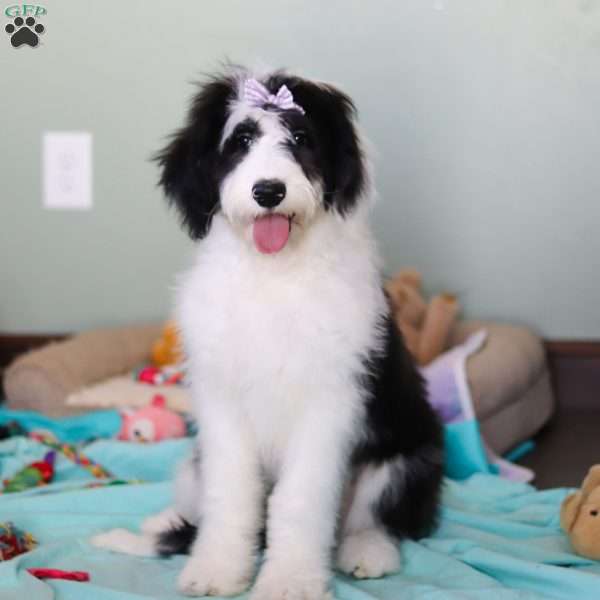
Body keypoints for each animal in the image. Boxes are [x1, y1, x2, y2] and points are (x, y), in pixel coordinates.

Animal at [91, 68, 442, 596]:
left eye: (300, 139)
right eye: (241, 140)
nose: (269, 192)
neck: (273, 275)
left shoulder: (329, 403)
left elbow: (299, 502)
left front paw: (290, 580)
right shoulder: (222, 400)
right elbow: (230, 495)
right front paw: (217, 569)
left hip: (408, 452)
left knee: (377, 514)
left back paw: (367, 551)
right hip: (193, 462)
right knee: (196, 498)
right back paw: (162, 522)